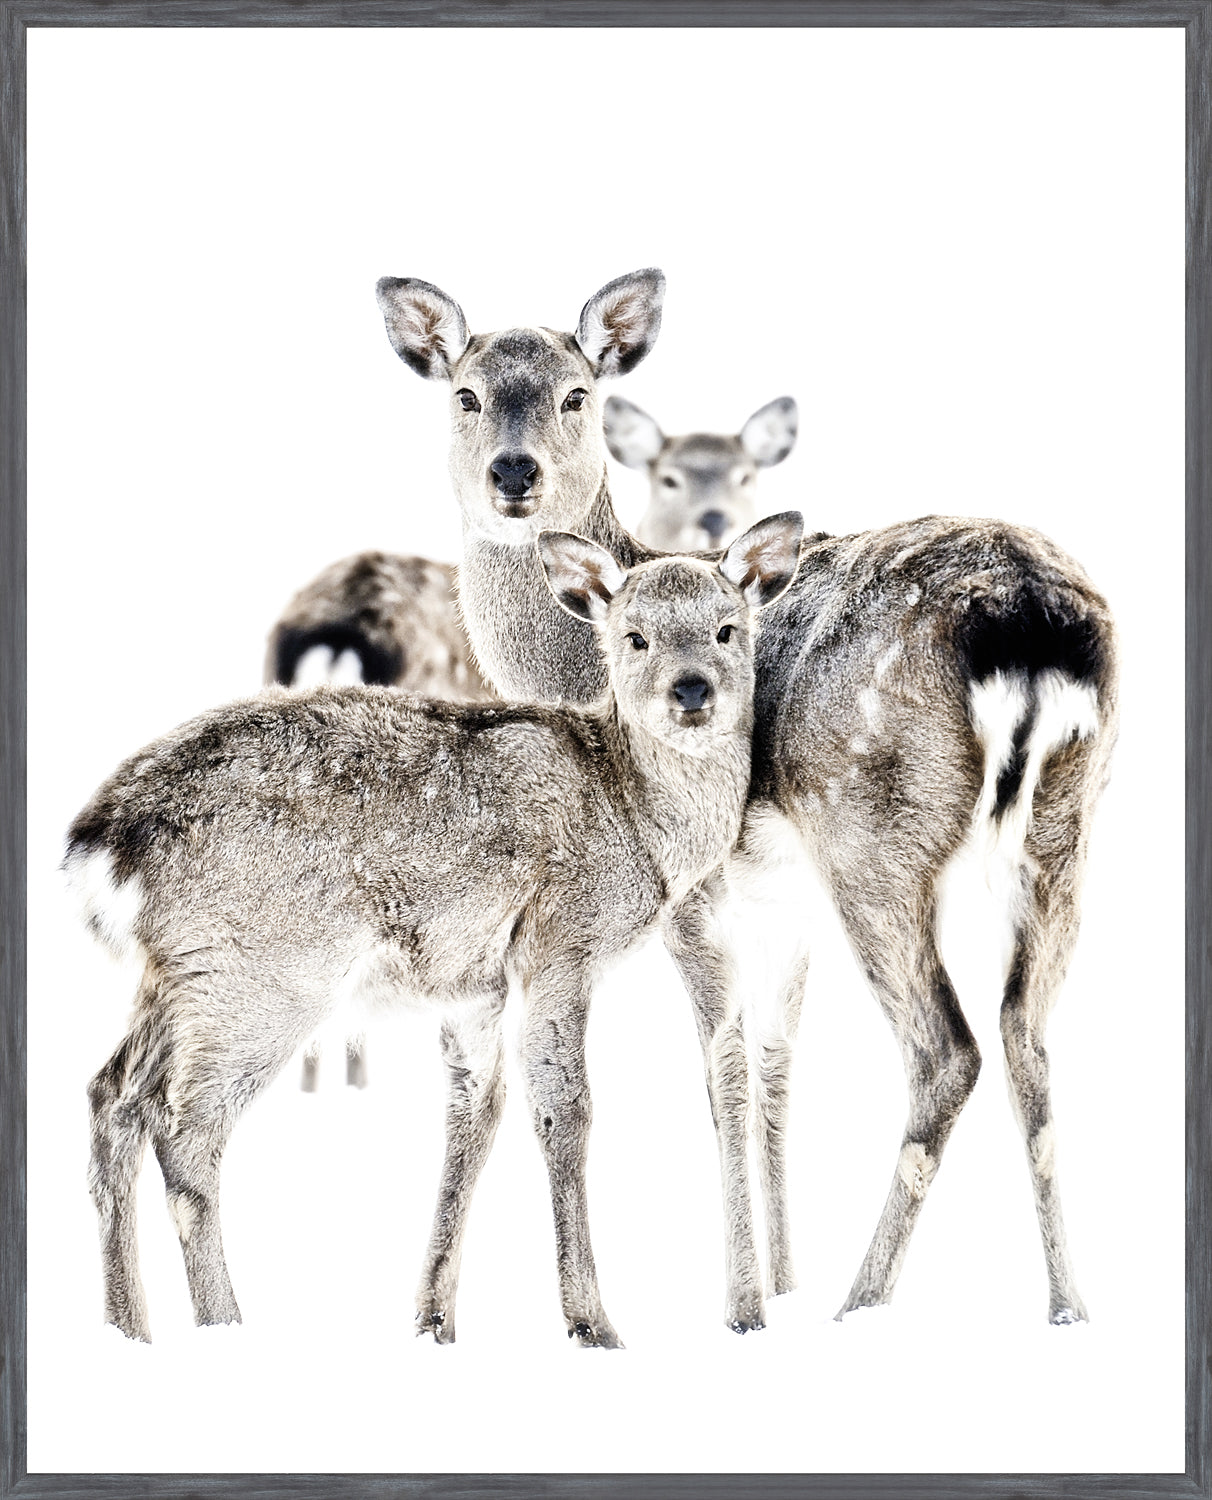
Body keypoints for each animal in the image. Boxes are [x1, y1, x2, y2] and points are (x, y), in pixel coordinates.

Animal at [67, 514, 803, 1347]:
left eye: (727, 629)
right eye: (635, 636)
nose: (692, 691)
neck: (639, 822)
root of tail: (102, 845)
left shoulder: (471, 985)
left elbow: (473, 1118)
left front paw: (434, 1319)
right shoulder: (559, 941)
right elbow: (565, 1109)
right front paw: (592, 1324)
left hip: (176, 975)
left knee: (112, 1098)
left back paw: (127, 1328)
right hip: (263, 973)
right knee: (185, 1131)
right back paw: (227, 1324)